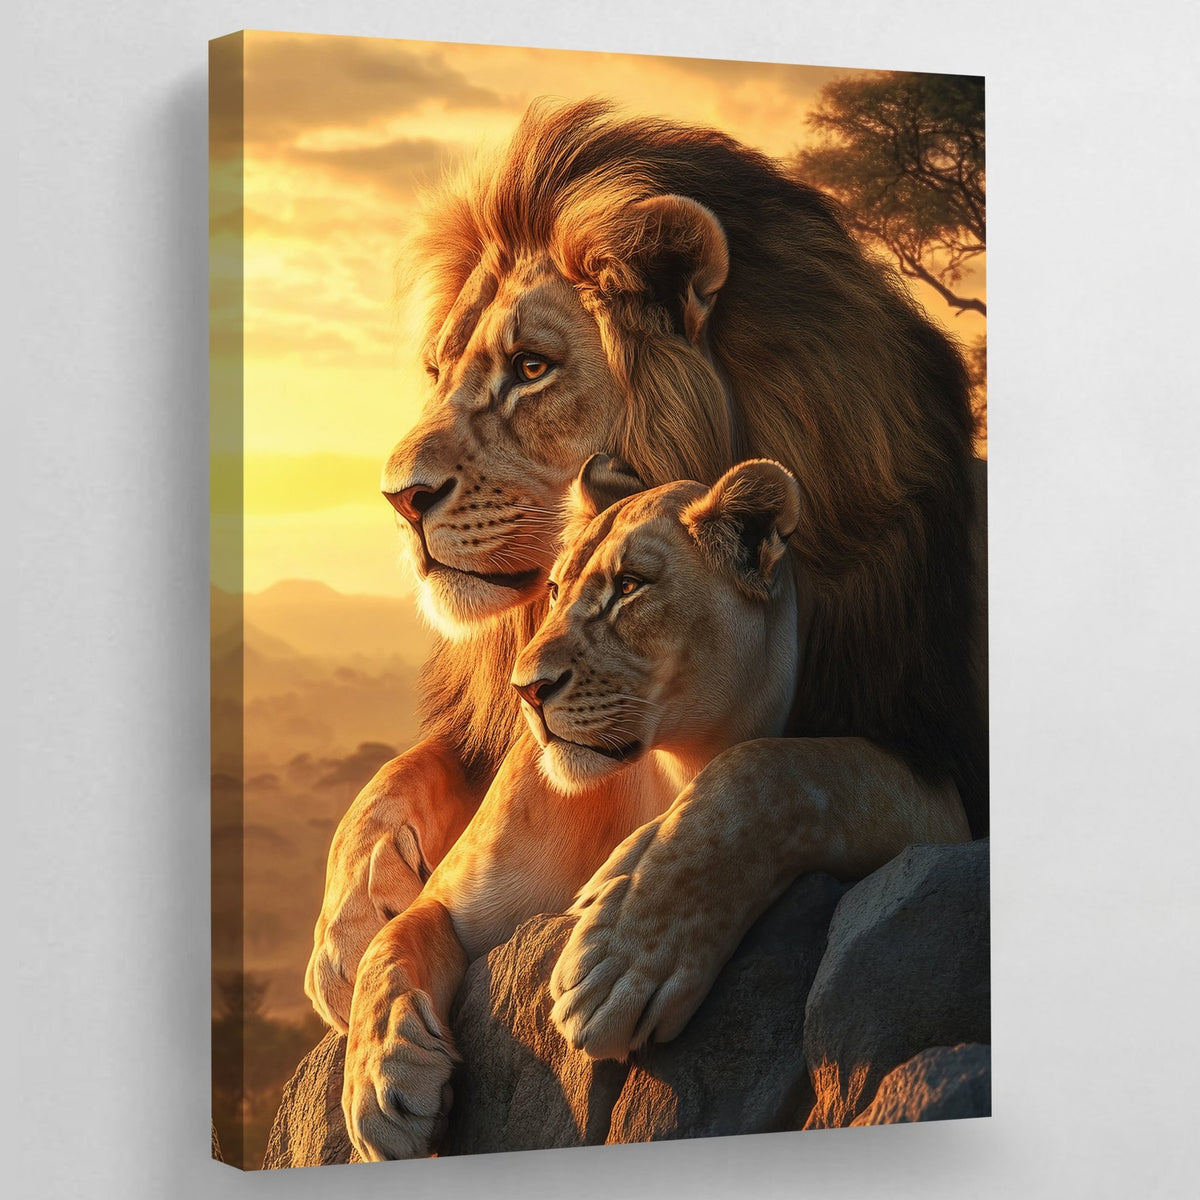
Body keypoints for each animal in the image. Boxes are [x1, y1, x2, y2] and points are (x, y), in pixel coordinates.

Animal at [305, 98, 987, 1066]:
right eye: (438, 372)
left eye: (531, 367)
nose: (399, 499)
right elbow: (402, 773)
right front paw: (347, 933)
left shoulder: (931, 752)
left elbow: (775, 773)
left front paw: (630, 942)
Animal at [340, 455, 972, 1160]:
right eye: (553, 590)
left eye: (630, 586)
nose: (524, 690)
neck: (669, 769)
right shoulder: (457, 901)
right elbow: (392, 941)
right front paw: (379, 1087)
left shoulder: (936, 795)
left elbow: (766, 770)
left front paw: (620, 958)